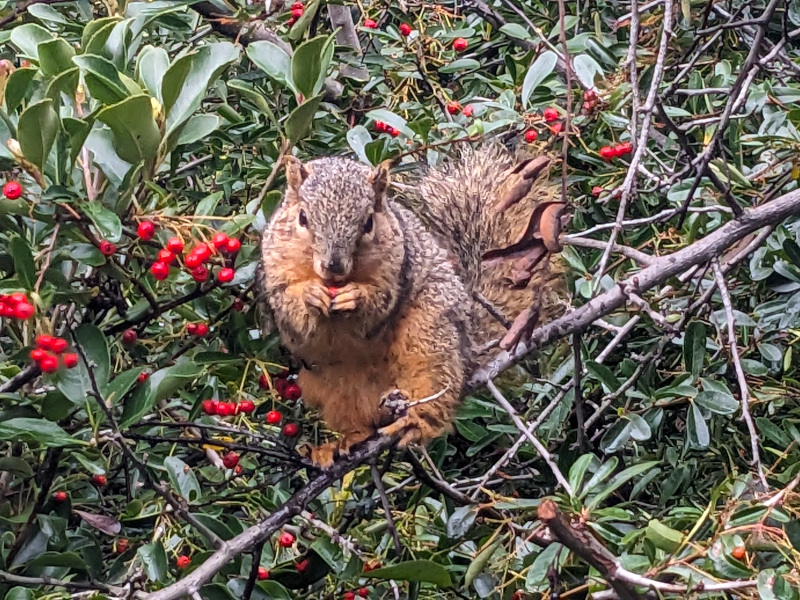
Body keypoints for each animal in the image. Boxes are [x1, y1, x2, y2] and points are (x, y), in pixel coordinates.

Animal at [259, 143, 564, 468]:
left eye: (368, 223)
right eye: (303, 218)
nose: (333, 266)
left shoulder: (396, 268)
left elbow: (377, 305)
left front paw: (356, 296)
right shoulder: (274, 270)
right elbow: (290, 307)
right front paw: (310, 294)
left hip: (430, 334)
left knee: (433, 382)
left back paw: (415, 421)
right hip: (330, 385)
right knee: (357, 422)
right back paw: (340, 444)